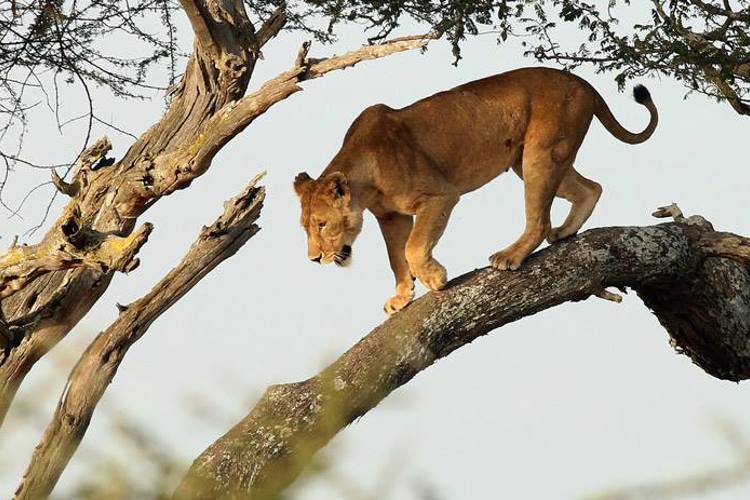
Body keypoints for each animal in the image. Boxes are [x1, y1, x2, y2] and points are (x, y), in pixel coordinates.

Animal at [294, 67, 658, 314]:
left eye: (322, 225)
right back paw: (566, 231)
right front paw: (401, 295)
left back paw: (510, 255)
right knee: (590, 188)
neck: (364, 176)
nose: (313, 259)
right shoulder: (390, 217)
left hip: (540, 153)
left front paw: (434, 278)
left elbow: (413, 247)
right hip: (532, 159)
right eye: (305, 228)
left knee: (540, 220)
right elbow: (396, 256)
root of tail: (583, 83)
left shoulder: (439, 195)